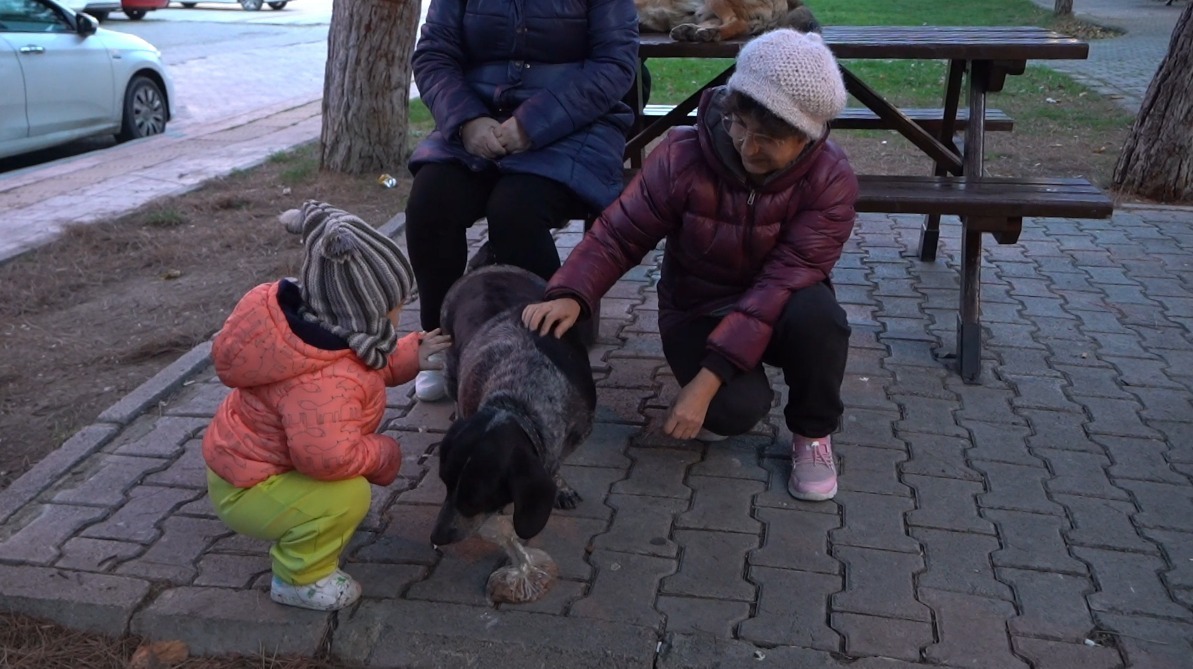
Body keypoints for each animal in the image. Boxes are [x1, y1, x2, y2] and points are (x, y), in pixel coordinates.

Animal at [429, 263, 596, 546]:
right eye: (446, 483)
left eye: (475, 499)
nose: (437, 537)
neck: (516, 399)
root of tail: (488, 267)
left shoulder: (580, 429)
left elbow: (557, 462)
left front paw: (560, 487)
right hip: (449, 361)